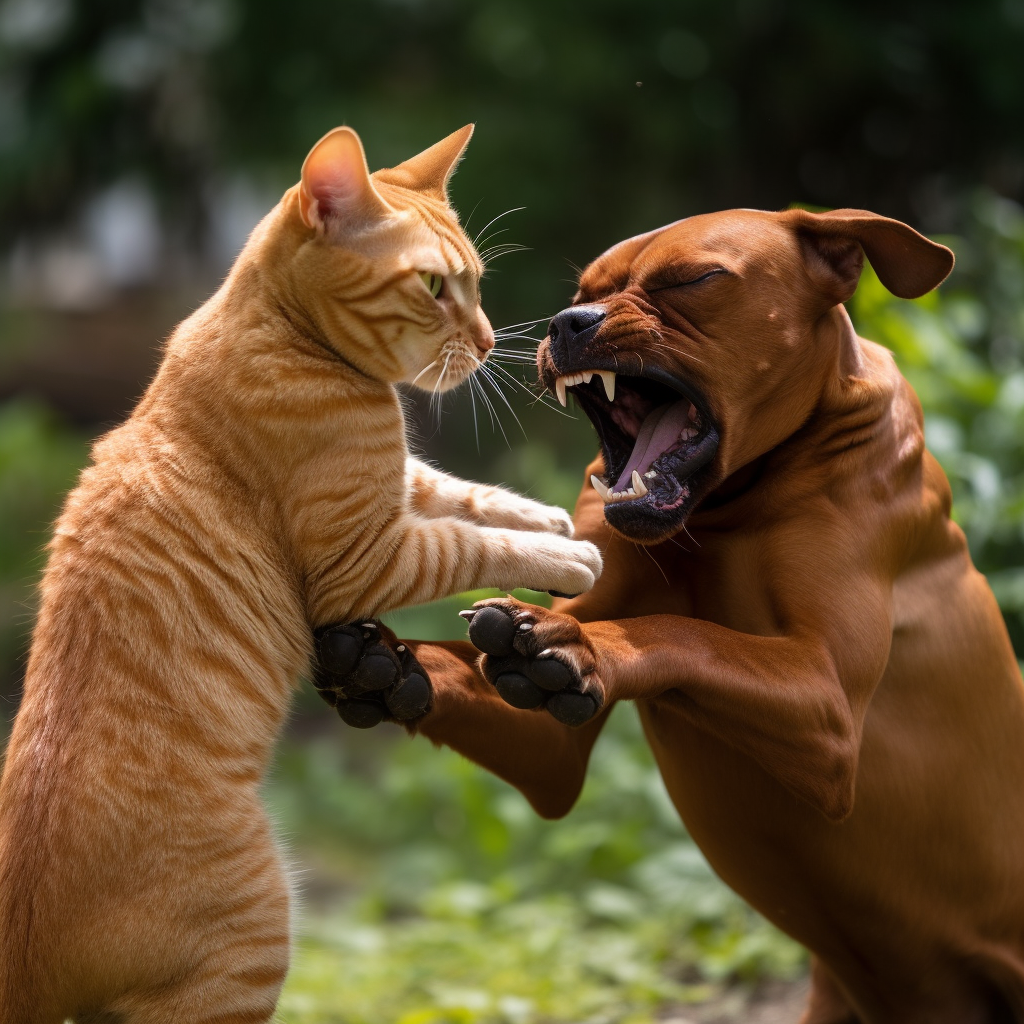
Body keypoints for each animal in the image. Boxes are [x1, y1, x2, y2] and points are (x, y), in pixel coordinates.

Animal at [0, 128, 598, 1024]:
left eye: (477, 284)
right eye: (433, 286)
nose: (493, 342)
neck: (275, 330)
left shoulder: (395, 492)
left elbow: (462, 494)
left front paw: (550, 519)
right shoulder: (368, 555)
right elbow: (464, 539)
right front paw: (565, 555)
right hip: (251, 941)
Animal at [315, 209, 1024, 1024]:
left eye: (692, 279)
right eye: (582, 293)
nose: (567, 323)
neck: (728, 506)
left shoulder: (830, 706)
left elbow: (688, 634)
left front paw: (584, 641)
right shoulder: (549, 752)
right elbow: (476, 671)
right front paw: (380, 662)